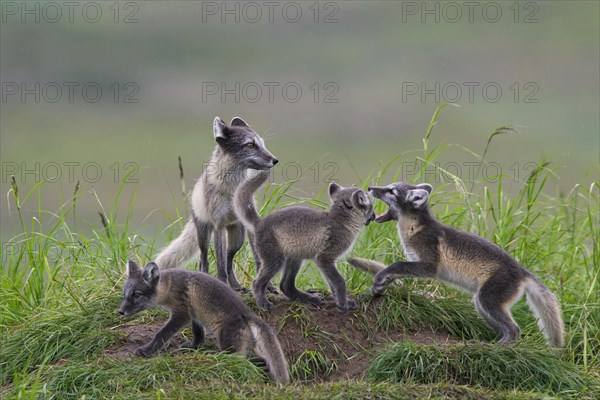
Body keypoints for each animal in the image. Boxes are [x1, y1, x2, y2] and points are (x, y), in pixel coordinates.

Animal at [118, 260, 290, 384]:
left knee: (252, 361)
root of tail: (248, 314)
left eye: (137, 295)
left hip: (229, 348)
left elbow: (162, 333)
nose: (120, 311)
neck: (169, 285)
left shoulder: (182, 314)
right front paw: (192, 348)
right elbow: (199, 334)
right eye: (125, 294)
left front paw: (146, 351)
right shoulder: (194, 315)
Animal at [154, 116, 278, 290]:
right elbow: (219, 263)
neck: (233, 191)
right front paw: (222, 283)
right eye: (250, 145)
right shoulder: (219, 224)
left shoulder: (249, 223)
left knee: (229, 260)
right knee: (204, 260)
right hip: (204, 236)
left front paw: (270, 287)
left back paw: (236, 286)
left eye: (262, 144)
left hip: (237, 238)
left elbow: (257, 259)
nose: (275, 160)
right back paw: (208, 279)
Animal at [234, 170, 376, 314]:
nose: (375, 216)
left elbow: (332, 284)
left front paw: (342, 301)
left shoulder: (326, 262)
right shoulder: (324, 258)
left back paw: (309, 298)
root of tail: (259, 223)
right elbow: (339, 282)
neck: (341, 221)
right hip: (275, 260)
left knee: (285, 285)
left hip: (294, 258)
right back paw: (263, 303)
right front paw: (343, 304)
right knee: (257, 282)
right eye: (371, 207)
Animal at [350, 182, 564, 346]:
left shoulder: (429, 265)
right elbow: (398, 272)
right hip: (481, 304)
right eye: (388, 187)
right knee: (505, 328)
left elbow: (396, 265)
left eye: (391, 191)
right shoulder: (414, 261)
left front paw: (381, 278)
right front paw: (382, 284)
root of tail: (522, 271)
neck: (414, 228)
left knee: (515, 329)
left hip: (488, 299)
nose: (370, 187)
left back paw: (498, 347)